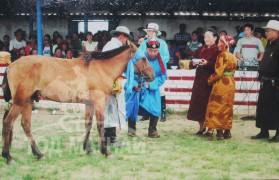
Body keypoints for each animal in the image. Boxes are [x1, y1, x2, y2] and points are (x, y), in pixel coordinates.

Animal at [1, 43, 155, 164]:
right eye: (143, 58)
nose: (152, 76)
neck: (101, 68)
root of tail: (10, 66)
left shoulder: (90, 103)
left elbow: (88, 124)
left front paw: (87, 149)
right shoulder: (99, 102)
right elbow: (100, 125)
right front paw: (105, 152)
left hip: (28, 101)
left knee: (25, 124)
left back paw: (38, 154)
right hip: (20, 101)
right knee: (8, 123)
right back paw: (8, 157)